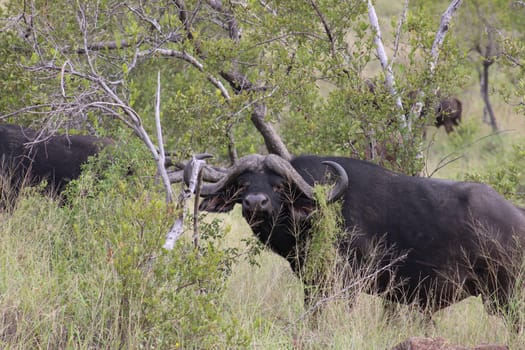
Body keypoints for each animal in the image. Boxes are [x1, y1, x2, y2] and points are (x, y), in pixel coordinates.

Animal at [186, 153, 524, 322]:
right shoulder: (313, 285)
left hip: (506, 297)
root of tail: (516, 216)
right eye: (243, 184)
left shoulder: (345, 283)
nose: (256, 202)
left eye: (278, 185)